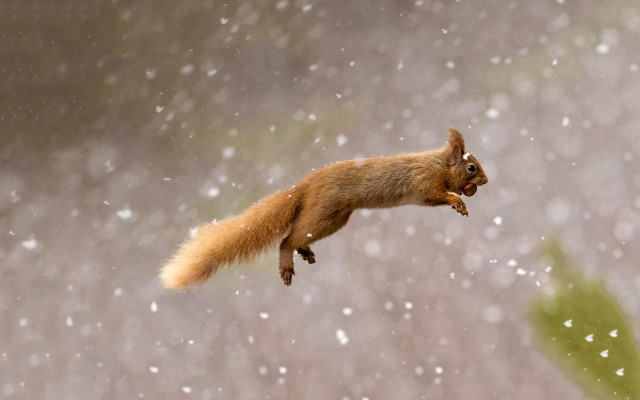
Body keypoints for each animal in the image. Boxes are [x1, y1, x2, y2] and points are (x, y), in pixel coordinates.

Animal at [160, 127, 488, 288]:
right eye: (471, 167)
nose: (485, 181)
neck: (439, 164)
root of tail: (303, 187)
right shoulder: (423, 183)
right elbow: (436, 195)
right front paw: (457, 202)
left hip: (334, 219)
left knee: (297, 236)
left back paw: (304, 252)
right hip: (323, 212)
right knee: (286, 239)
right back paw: (287, 263)